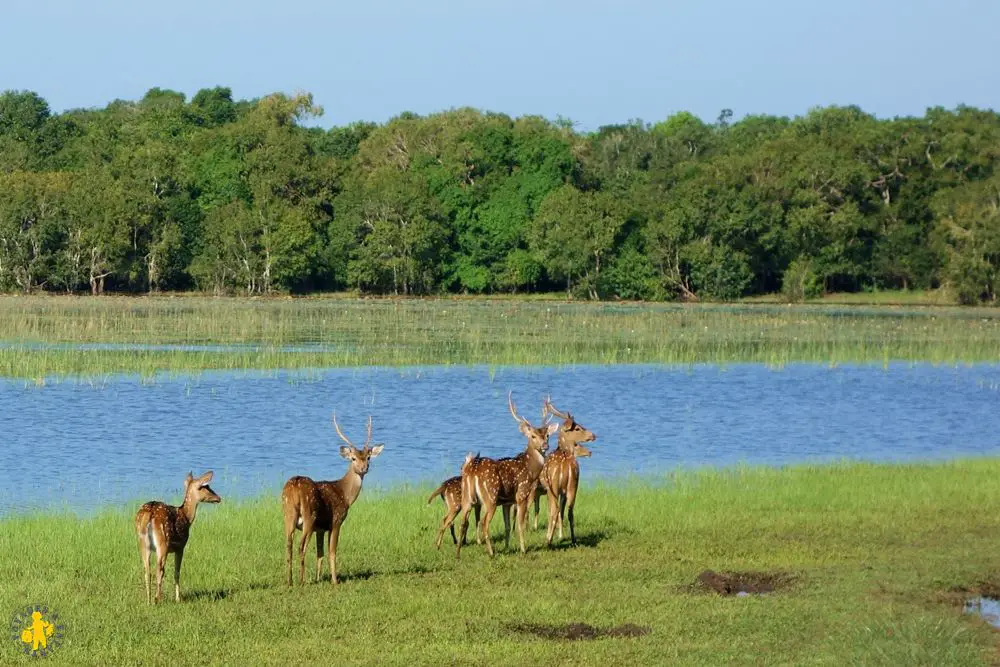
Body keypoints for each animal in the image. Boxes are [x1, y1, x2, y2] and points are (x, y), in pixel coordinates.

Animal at [135, 470, 221, 604]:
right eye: (206, 487)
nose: (218, 498)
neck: (186, 517)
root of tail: (149, 513)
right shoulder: (181, 546)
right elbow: (177, 572)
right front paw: (178, 599)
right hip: (162, 543)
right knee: (159, 570)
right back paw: (157, 599)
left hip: (143, 544)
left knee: (147, 570)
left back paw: (148, 601)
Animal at [282, 414, 382, 588]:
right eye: (353, 458)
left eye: (368, 457)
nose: (364, 468)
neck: (344, 495)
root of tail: (294, 487)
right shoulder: (336, 521)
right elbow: (332, 551)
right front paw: (335, 581)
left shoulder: (320, 529)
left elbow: (320, 553)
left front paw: (318, 578)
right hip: (309, 515)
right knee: (301, 546)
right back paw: (301, 581)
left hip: (288, 515)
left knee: (288, 545)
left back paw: (289, 581)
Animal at [454, 392, 556, 560]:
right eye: (533, 436)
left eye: (547, 435)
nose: (545, 446)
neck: (530, 469)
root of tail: (472, 470)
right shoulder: (521, 494)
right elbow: (520, 524)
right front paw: (523, 549)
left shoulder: (507, 502)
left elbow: (508, 526)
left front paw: (508, 548)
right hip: (490, 496)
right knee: (484, 522)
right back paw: (491, 552)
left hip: (467, 497)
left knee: (463, 522)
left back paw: (458, 554)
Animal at [540, 400, 592, 544]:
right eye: (577, 428)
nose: (593, 435)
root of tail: (566, 466)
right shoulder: (563, 490)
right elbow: (563, 511)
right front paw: (561, 536)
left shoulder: (548, 488)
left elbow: (550, 510)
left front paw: (552, 536)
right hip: (573, 484)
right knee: (570, 510)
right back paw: (574, 540)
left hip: (554, 485)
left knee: (555, 509)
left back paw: (548, 540)